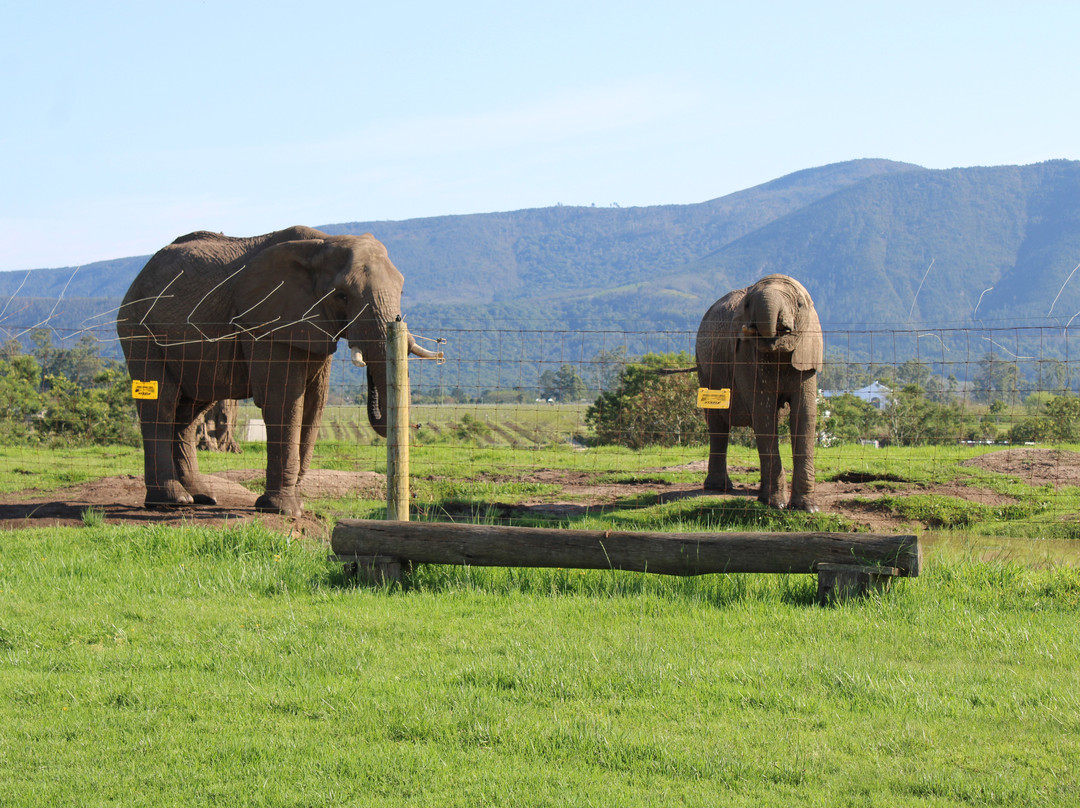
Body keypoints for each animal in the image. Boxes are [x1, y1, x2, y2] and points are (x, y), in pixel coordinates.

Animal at [117, 225, 439, 517]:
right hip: (141, 331)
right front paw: (285, 510)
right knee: (162, 404)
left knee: (188, 412)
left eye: (402, 289)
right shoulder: (268, 324)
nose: (419, 425)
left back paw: (201, 497)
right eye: (342, 296)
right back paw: (171, 501)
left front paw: (294, 504)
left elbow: (314, 405)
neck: (324, 243)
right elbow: (284, 400)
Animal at [695, 274, 823, 511]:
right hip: (704, 367)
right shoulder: (746, 356)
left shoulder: (807, 356)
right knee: (718, 425)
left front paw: (806, 508)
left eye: (799, 304)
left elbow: (804, 416)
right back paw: (719, 488)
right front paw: (776, 504)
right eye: (747, 305)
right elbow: (764, 414)